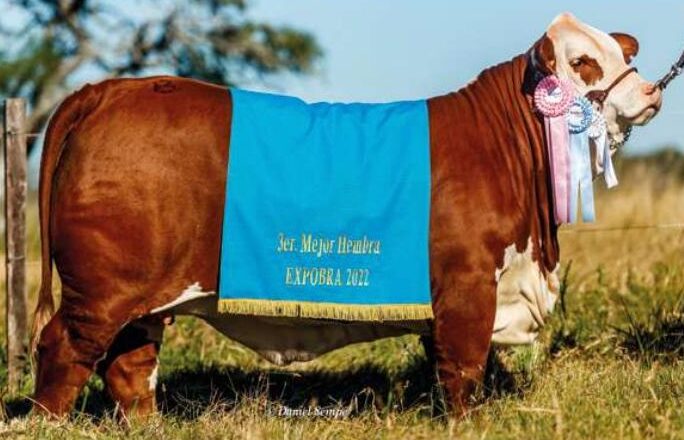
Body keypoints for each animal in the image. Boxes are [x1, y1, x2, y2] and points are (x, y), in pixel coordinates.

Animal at [30, 13, 662, 418]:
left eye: (623, 54)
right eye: (582, 61)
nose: (651, 91)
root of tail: (109, 89)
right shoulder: (467, 286)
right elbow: (463, 372)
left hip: (144, 297)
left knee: (129, 368)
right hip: (100, 292)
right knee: (62, 351)